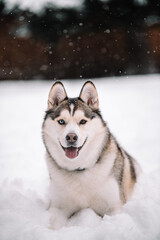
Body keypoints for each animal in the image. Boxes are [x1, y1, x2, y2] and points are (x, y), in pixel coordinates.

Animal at [42, 80, 140, 229]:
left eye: (82, 121)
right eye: (61, 121)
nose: (71, 137)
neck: (79, 169)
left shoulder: (115, 206)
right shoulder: (58, 207)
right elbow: (53, 223)